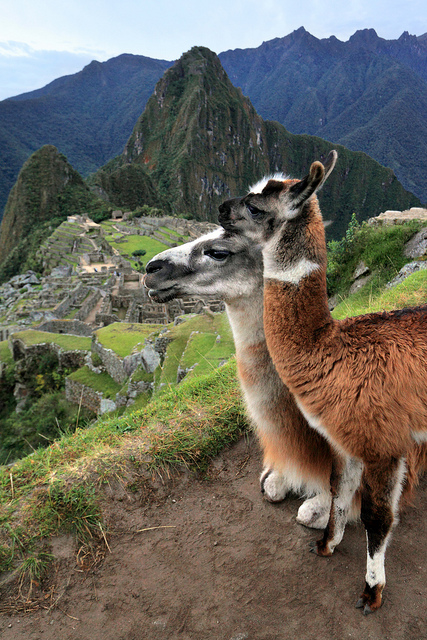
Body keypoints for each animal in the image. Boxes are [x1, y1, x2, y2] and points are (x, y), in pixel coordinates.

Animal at [217, 150, 427, 614]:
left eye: (256, 206)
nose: (221, 208)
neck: (330, 349)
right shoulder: (344, 439)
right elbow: (338, 489)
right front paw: (326, 545)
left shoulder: (383, 443)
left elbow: (377, 517)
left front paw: (371, 592)